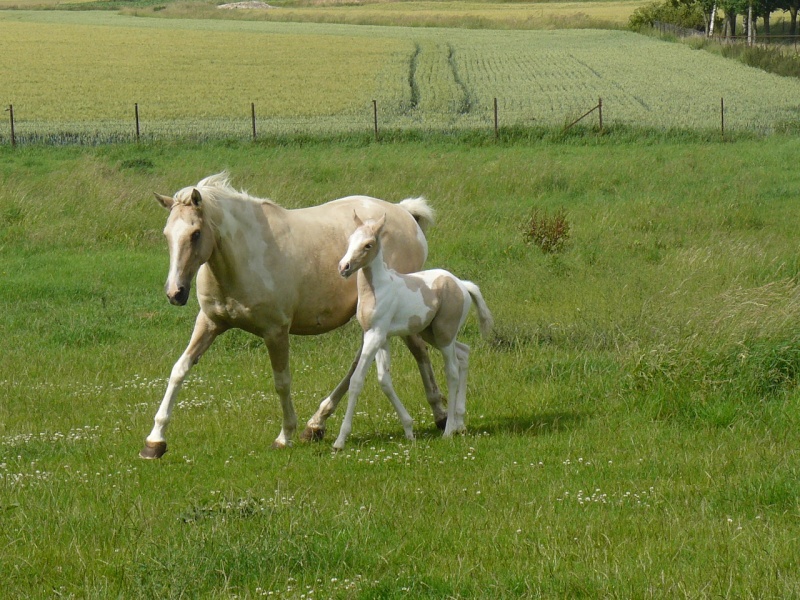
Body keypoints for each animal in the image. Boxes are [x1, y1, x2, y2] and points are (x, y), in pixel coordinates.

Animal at [332, 213, 494, 448]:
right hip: (432, 333)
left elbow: (356, 382)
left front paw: (340, 440)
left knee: (453, 371)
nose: (343, 267)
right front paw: (409, 430)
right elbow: (384, 380)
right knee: (464, 352)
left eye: (368, 244)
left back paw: (449, 430)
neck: (376, 289)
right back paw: (460, 422)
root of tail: (461, 284)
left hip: (444, 335)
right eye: (350, 240)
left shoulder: (374, 336)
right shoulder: (382, 338)